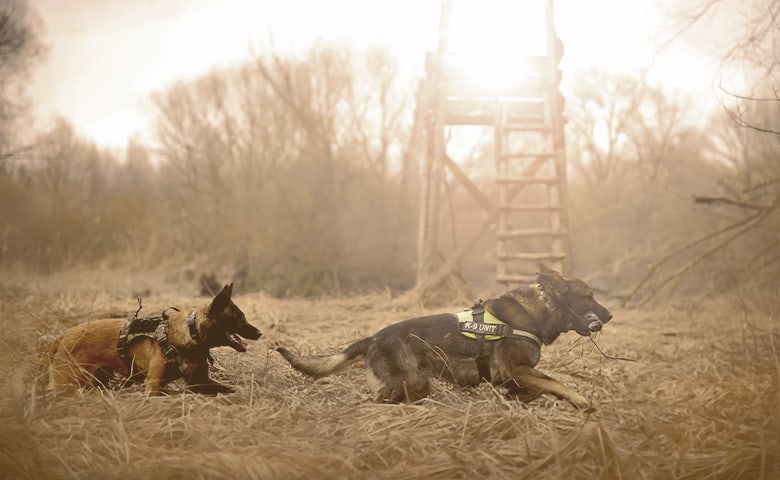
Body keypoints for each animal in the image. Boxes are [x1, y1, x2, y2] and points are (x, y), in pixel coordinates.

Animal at [45, 284, 262, 396]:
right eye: (238, 317)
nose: (260, 333)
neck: (191, 334)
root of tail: (62, 336)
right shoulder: (154, 384)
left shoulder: (200, 383)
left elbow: (232, 389)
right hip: (70, 382)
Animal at [278, 268, 612, 406]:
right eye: (588, 296)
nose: (609, 316)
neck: (539, 311)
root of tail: (373, 337)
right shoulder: (512, 370)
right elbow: (556, 383)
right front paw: (581, 401)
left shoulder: (514, 375)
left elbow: (540, 386)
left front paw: (518, 398)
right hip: (410, 382)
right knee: (379, 399)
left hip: (417, 384)